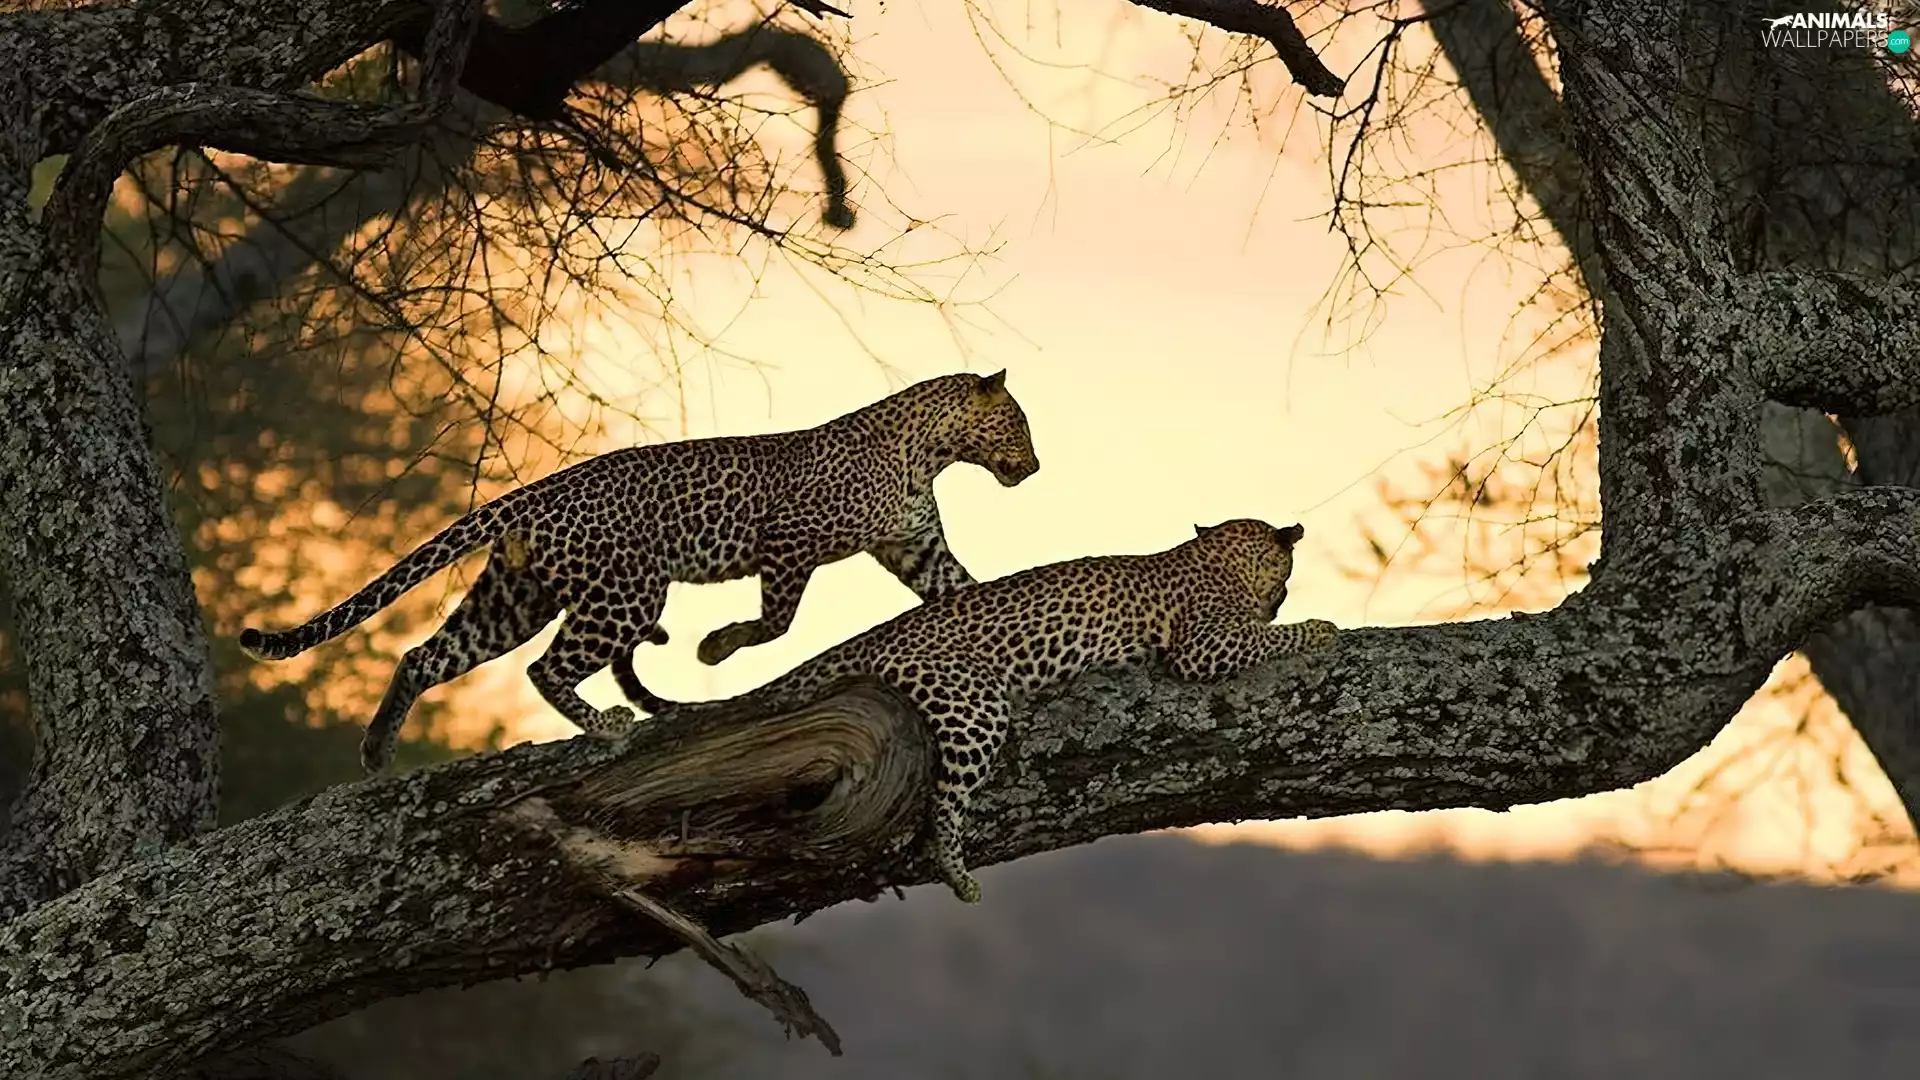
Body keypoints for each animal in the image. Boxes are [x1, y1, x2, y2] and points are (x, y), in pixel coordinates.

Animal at [238, 370, 1040, 774]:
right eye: (1020, 424)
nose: (1034, 466)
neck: (930, 452)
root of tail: (540, 488)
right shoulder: (789, 543)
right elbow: (778, 621)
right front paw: (714, 648)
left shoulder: (917, 550)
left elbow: (965, 592)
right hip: (626, 595)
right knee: (544, 669)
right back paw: (605, 727)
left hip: (514, 597)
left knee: (425, 655)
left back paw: (378, 750)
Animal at [668, 518, 1339, 904]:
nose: (1283, 597)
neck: (1216, 558)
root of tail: (873, 636)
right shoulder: (1205, 644)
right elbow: (1269, 636)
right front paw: (1322, 627)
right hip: (974, 705)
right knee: (942, 807)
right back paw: (959, 875)